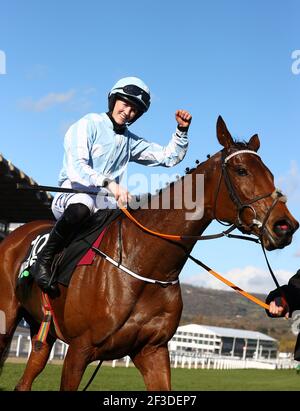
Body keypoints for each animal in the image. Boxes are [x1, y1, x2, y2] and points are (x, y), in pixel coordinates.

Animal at [0, 116, 298, 392]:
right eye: (241, 171)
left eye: (271, 174)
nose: (286, 226)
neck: (144, 265)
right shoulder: (78, 350)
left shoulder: (152, 351)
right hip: (8, 318)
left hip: (43, 330)